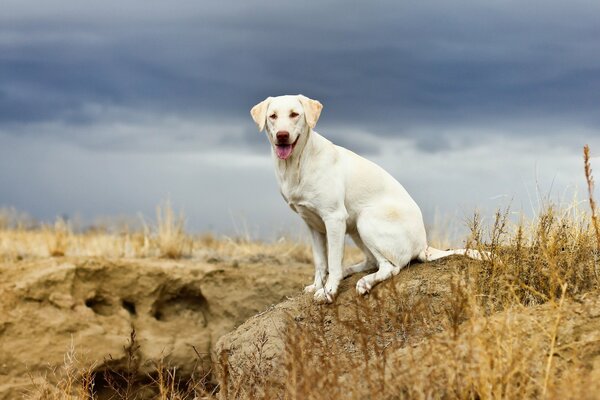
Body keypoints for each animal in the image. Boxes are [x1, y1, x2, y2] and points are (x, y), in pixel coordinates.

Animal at [251, 94, 486, 304]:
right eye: (273, 116)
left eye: (294, 114)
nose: (282, 135)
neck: (297, 163)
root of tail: (424, 244)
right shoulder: (312, 224)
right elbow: (320, 262)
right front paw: (318, 285)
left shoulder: (334, 218)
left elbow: (333, 261)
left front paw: (329, 291)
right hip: (355, 229)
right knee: (373, 261)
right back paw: (349, 271)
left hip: (366, 220)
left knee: (390, 267)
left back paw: (364, 282)